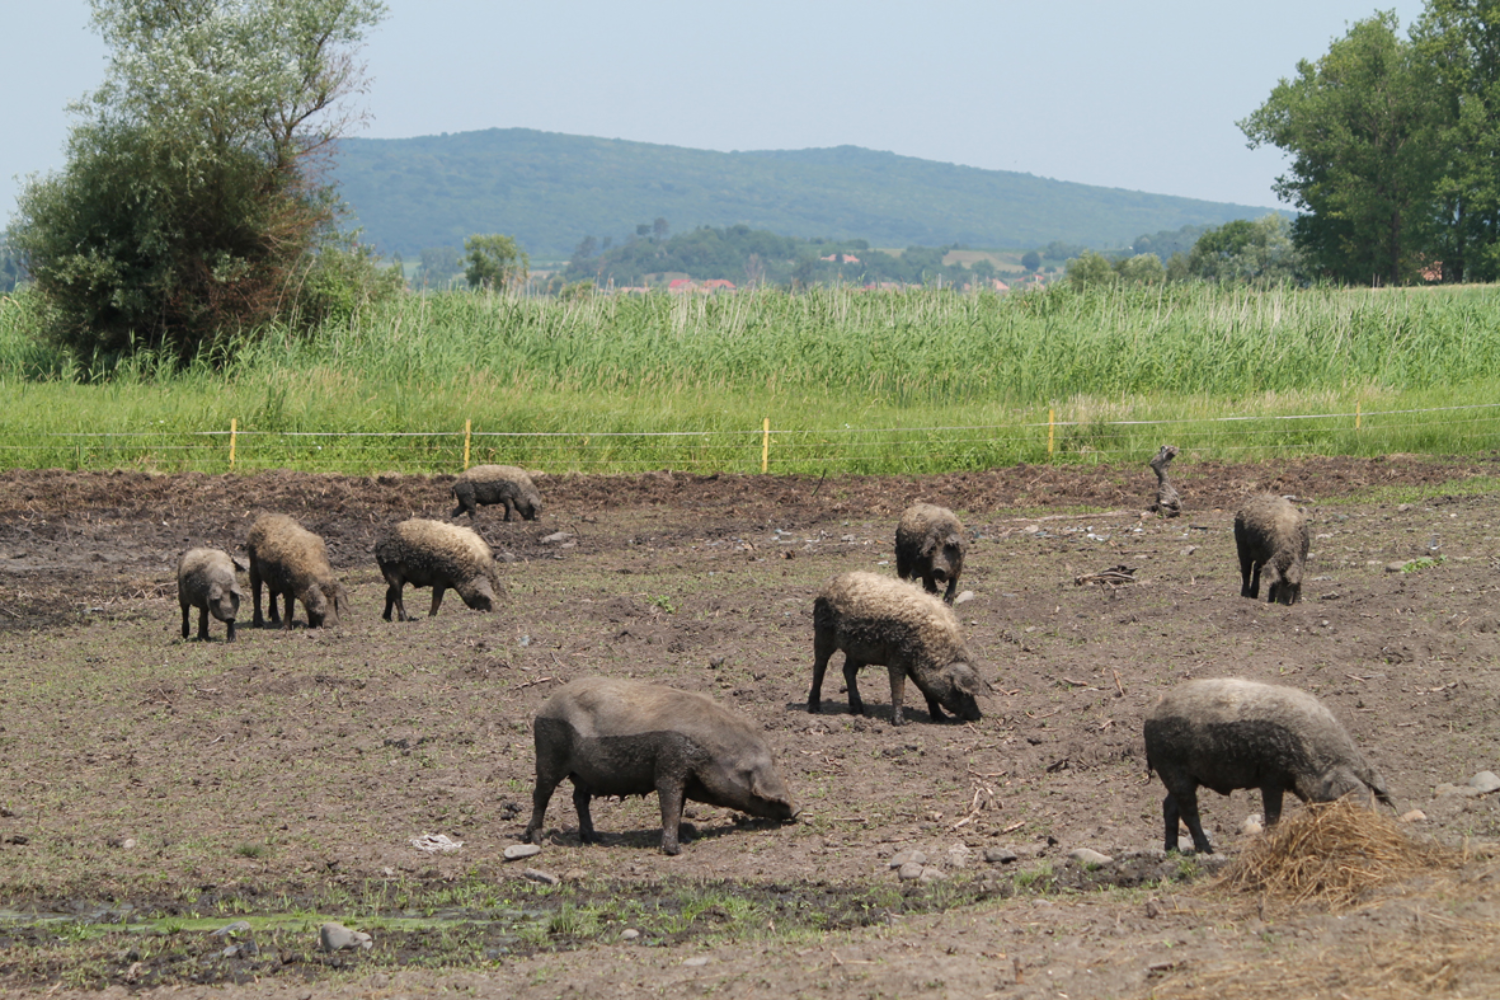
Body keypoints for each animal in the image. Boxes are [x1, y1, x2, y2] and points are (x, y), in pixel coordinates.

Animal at [807, 570, 991, 726]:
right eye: (962, 692)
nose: (978, 715)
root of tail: (828, 584)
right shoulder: (897, 655)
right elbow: (898, 688)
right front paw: (900, 723)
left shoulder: (915, 666)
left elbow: (927, 691)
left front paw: (940, 718)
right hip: (822, 633)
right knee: (819, 666)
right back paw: (814, 708)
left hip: (856, 650)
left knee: (847, 670)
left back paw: (858, 710)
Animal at [1144, 678, 1392, 854]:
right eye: (1343, 800)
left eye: (1369, 803)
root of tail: (1150, 716)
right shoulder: (1271, 775)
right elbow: (1272, 813)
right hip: (1174, 770)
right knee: (1189, 811)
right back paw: (1208, 852)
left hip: (1181, 777)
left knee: (1169, 805)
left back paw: (1172, 851)